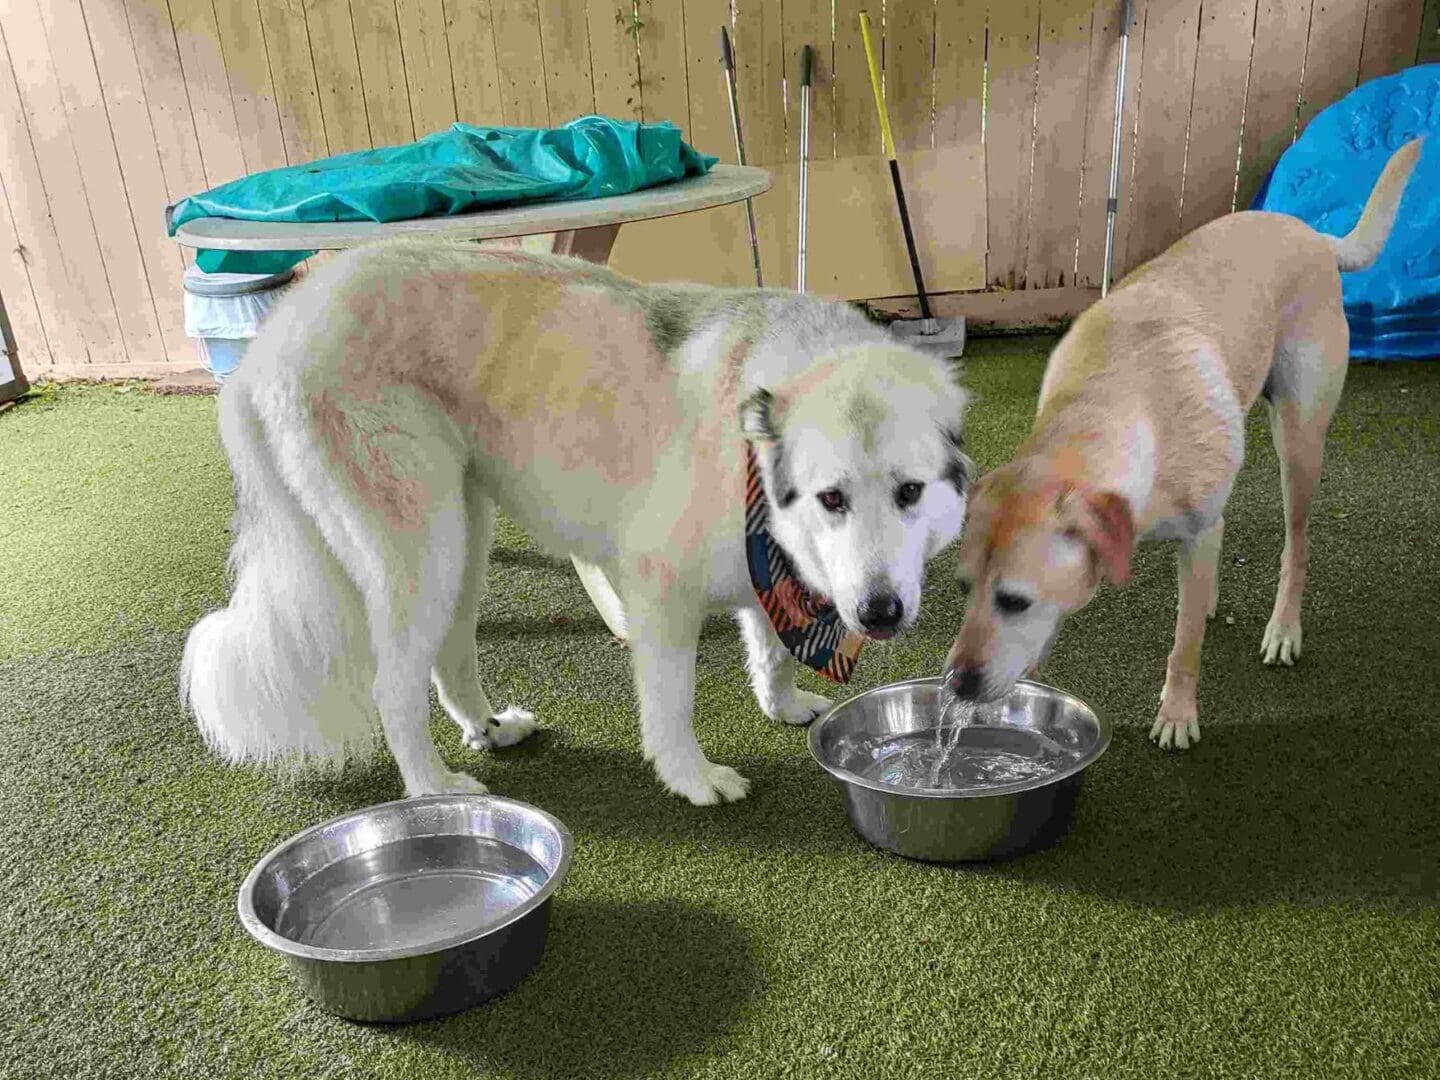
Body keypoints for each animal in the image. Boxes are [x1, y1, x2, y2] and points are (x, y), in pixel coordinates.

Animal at [180, 243, 967, 806]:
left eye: (909, 492)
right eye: (833, 499)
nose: (880, 613)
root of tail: (274, 334)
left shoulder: (763, 565)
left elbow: (770, 647)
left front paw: (783, 705)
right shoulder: (660, 593)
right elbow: (672, 703)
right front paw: (691, 779)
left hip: (464, 537)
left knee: (448, 658)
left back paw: (491, 730)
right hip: (423, 547)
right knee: (392, 689)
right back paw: (434, 792)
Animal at [938, 137, 1422, 754]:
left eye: (1015, 601)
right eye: (962, 589)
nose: (957, 681)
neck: (1108, 402)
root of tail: (1310, 233)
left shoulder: (1194, 534)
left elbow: (1185, 645)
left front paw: (1177, 713)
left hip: (1299, 439)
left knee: (1296, 546)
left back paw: (1283, 627)